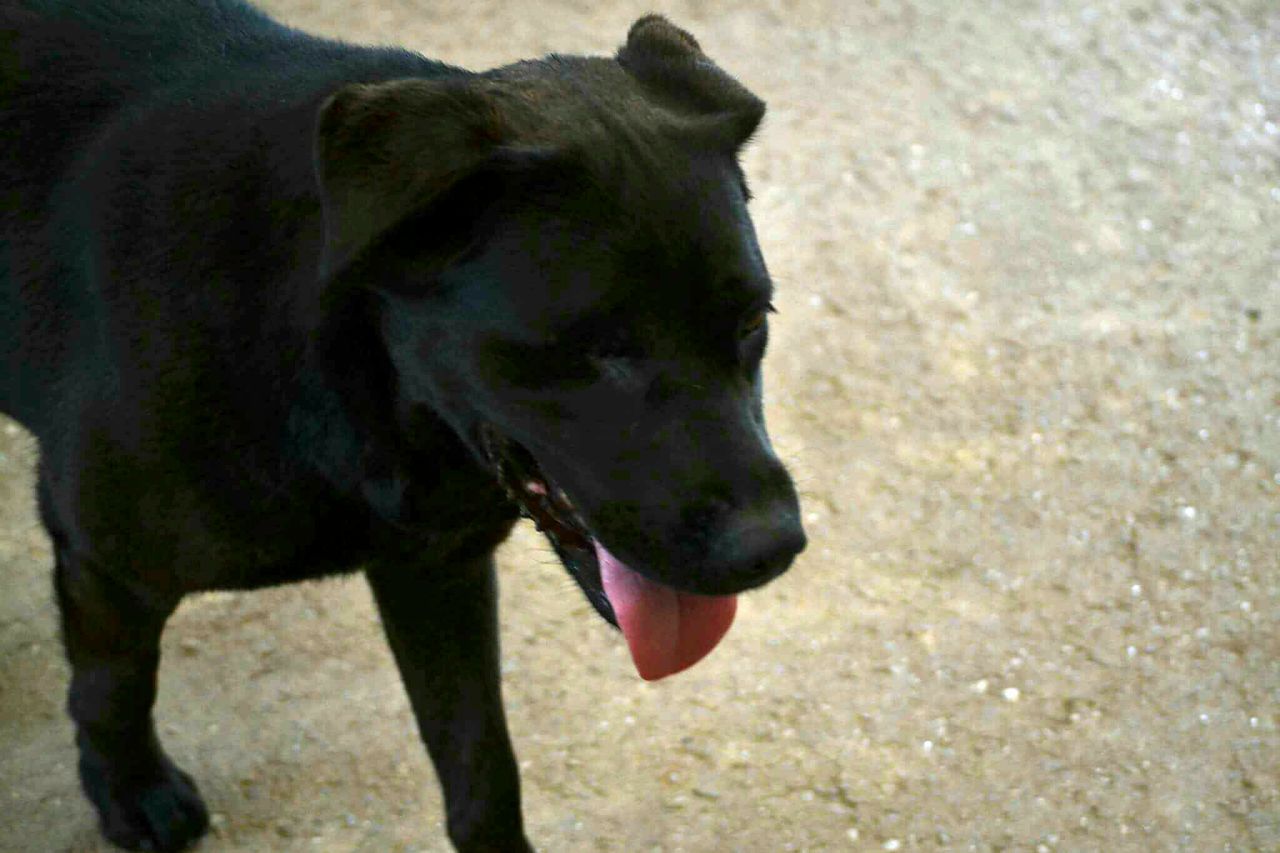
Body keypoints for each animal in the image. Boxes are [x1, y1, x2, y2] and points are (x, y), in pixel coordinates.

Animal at [0, 2, 806, 850]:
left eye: (752, 321)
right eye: (599, 349)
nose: (773, 547)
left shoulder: (435, 569)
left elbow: (482, 771)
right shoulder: (105, 561)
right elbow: (111, 687)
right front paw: (133, 791)